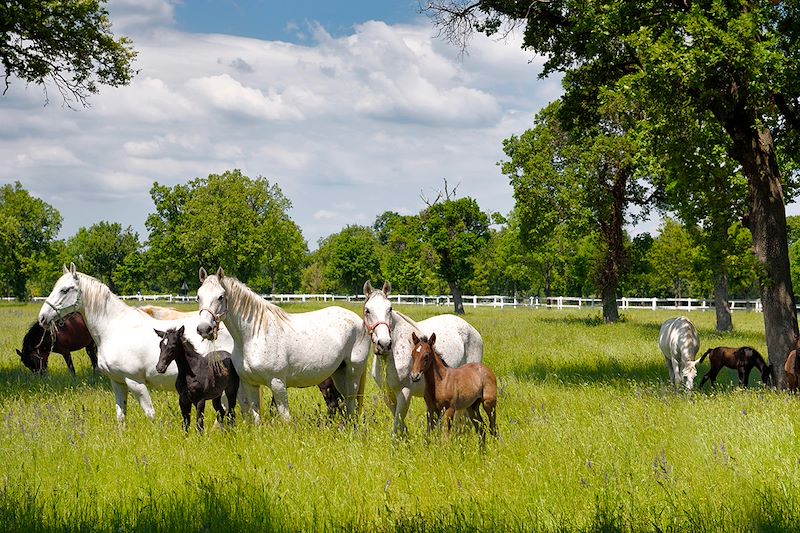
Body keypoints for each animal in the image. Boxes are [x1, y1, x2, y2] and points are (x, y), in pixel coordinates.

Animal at [195, 268, 370, 422]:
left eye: (220, 296)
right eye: (198, 297)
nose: (204, 329)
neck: (253, 335)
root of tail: (358, 321)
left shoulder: (277, 383)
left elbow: (285, 418)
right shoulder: (250, 384)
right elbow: (256, 418)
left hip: (353, 373)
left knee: (351, 403)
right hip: (339, 373)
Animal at [362, 280, 482, 434]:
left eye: (390, 308)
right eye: (367, 310)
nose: (384, 343)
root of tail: (473, 330)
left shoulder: (405, 392)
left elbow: (397, 424)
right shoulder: (387, 394)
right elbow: (399, 422)